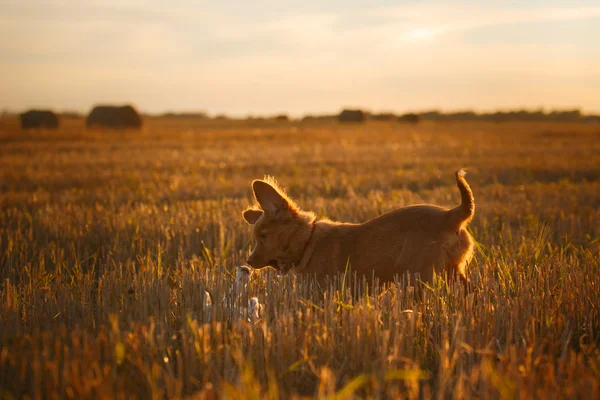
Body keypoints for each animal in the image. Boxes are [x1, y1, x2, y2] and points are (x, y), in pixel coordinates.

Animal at [241, 169, 476, 288]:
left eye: (263, 236)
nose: (249, 261)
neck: (309, 242)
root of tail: (451, 215)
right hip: (453, 272)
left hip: (418, 276)